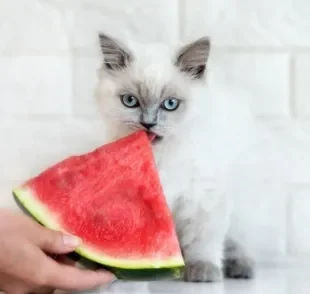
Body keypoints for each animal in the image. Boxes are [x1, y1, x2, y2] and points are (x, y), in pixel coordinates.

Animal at [95, 32, 254, 282]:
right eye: (130, 101)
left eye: (170, 104)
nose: (148, 124)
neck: (160, 158)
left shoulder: (202, 197)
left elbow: (202, 240)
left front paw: (202, 271)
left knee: (236, 241)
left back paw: (239, 267)